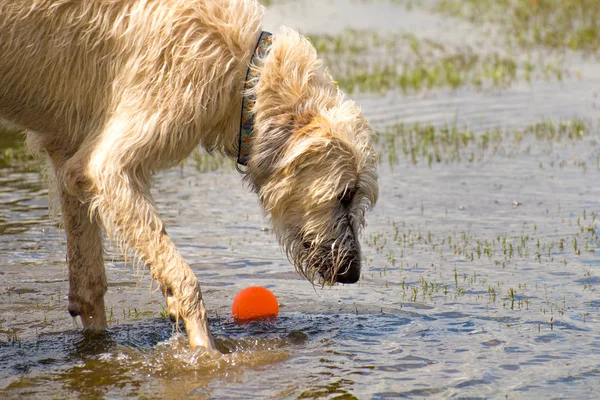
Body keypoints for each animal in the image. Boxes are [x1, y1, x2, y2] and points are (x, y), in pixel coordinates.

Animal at [0, 0, 378, 350]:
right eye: (345, 194)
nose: (352, 273)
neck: (246, 75)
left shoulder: (67, 150)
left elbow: (89, 284)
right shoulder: (112, 164)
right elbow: (182, 277)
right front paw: (205, 350)